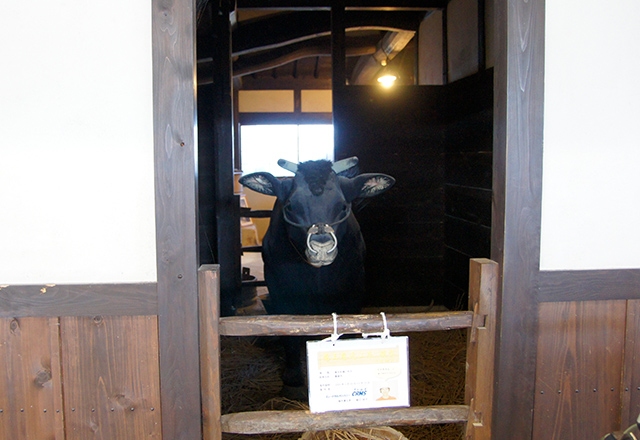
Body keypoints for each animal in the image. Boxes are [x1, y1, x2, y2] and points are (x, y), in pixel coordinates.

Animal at [239, 156, 392, 398]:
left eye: (343, 206)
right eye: (290, 206)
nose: (321, 248)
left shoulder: (353, 292)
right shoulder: (280, 291)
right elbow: (288, 333)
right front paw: (293, 380)